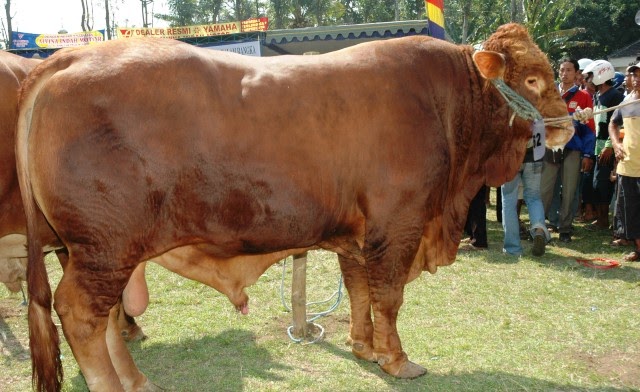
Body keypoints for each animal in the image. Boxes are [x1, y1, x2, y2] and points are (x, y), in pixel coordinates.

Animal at [17, 23, 572, 390]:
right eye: (533, 81)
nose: (568, 126)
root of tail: (64, 60)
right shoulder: (398, 224)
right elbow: (389, 296)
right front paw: (397, 360)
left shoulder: (358, 234)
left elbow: (359, 290)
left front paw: (364, 347)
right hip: (104, 247)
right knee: (80, 314)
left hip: (89, 249)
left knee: (107, 316)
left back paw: (136, 381)